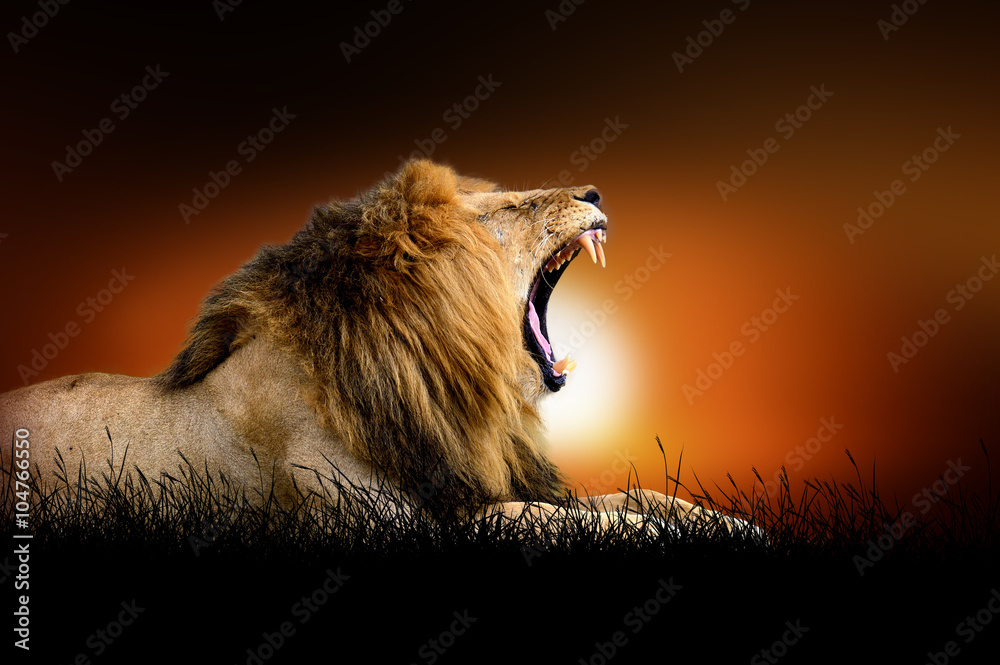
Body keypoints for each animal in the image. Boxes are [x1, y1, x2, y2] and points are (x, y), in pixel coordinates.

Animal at [1, 160, 743, 537]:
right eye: (508, 209)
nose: (593, 190)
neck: (432, 374)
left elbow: (626, 496)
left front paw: (723, 522)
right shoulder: (386, 525)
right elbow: (541, 519)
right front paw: (660, 534)